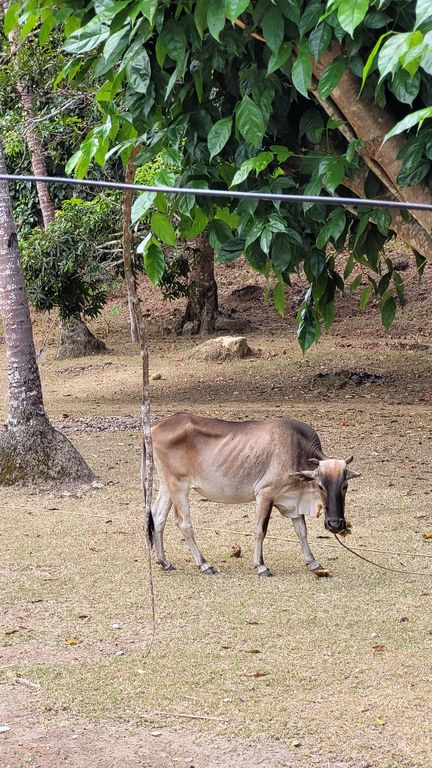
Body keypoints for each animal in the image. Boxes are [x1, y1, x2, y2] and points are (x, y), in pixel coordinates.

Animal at [147, 414, 360, 576]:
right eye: (321, 486)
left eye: (345, 485)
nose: (335, 524)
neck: (298, 451)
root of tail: (155, 426)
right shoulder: (265, 494)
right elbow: (260, 530)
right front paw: (261, 566)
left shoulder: (292, 500)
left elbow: (301, 530)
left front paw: (313, 562)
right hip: (179, 487)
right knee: (184, 524)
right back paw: (204, 564)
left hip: (167, 485)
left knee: (158, 516)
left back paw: (164, 561)